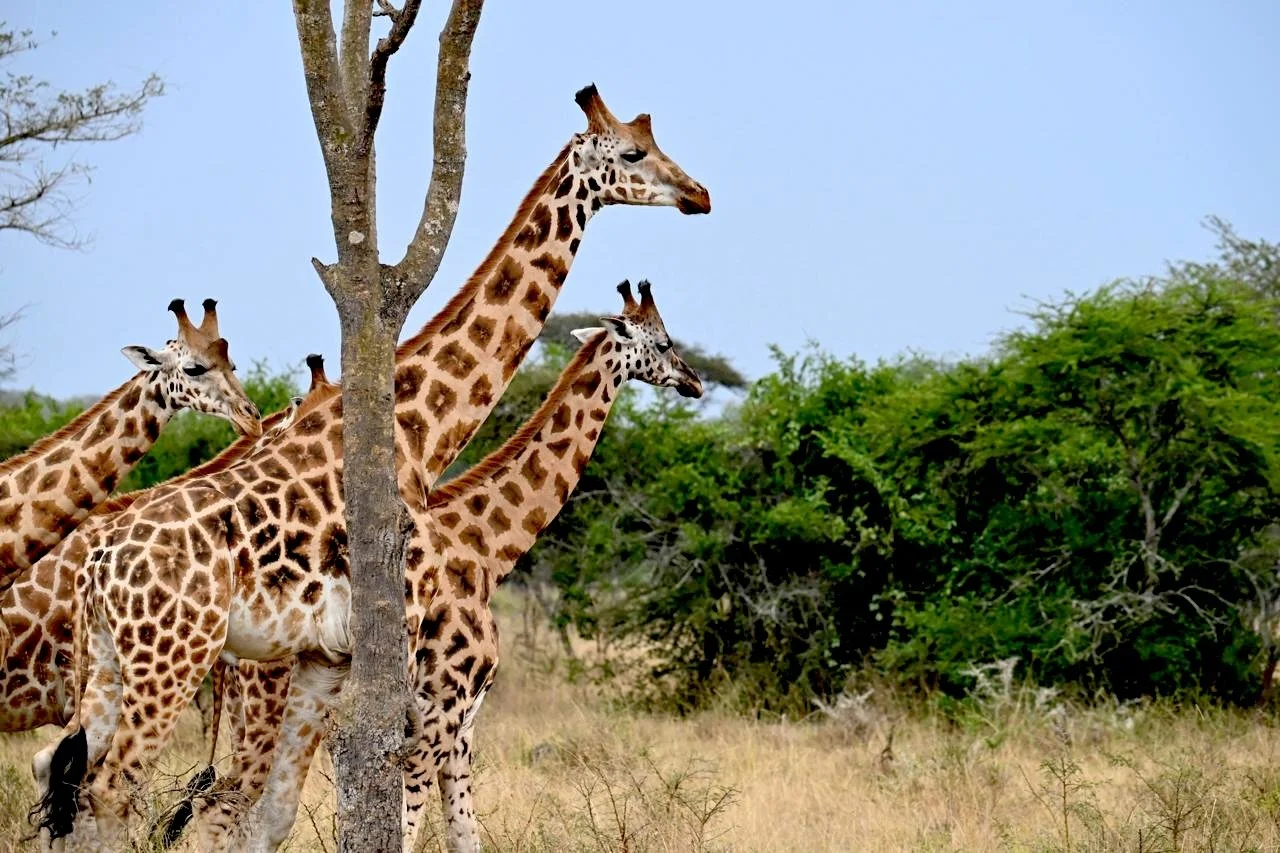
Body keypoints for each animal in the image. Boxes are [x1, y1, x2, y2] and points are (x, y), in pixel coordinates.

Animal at [194, 281, 700, 853]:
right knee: (222, 807)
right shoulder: (434, 720)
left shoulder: (464, 726)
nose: (695, 381)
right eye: (663, 342)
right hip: (268, 707)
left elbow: (465, 833)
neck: (486, 553)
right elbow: (407, 832)